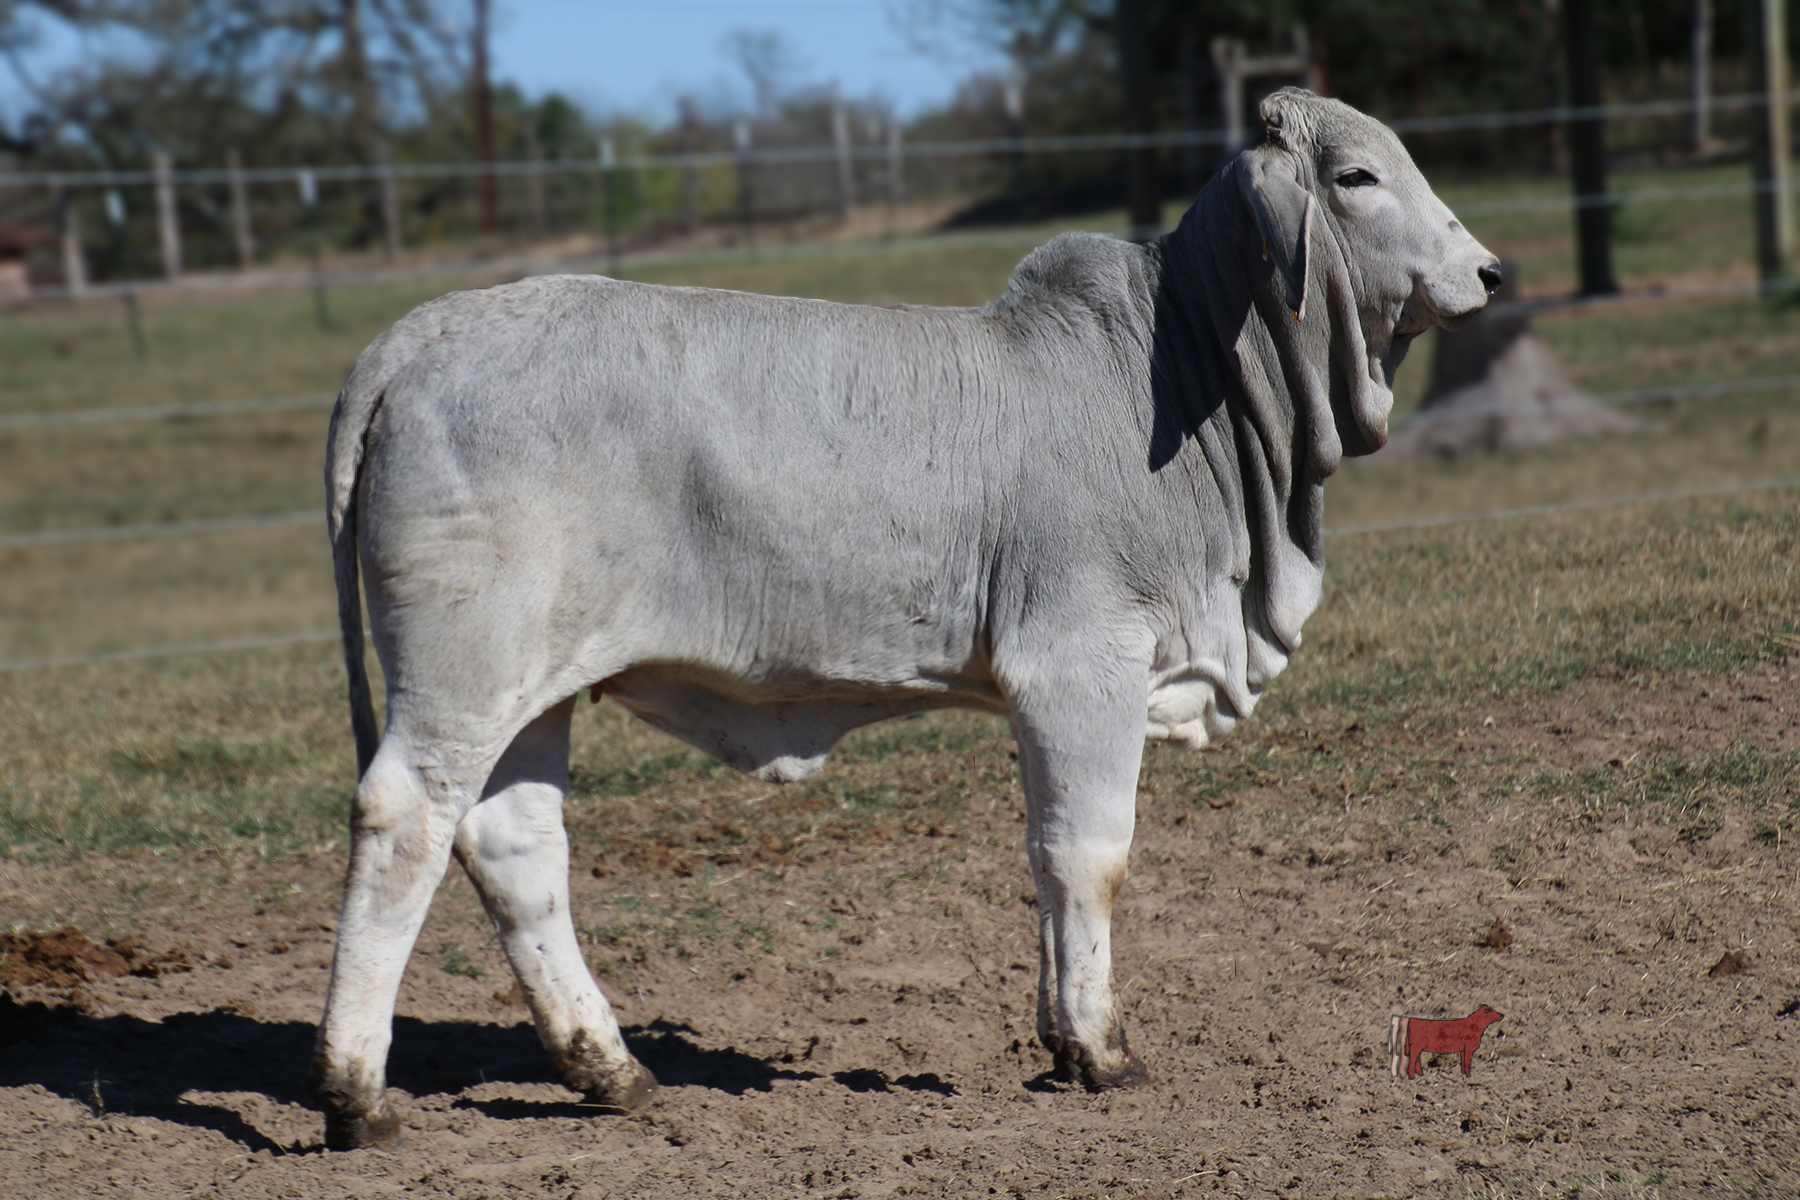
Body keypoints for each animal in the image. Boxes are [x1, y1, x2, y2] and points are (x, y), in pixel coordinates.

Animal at [313, 89, 1504, 1151]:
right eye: (1357, 176)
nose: (1492, 271)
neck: (1174, 375)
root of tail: (419, 334)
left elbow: (1043, 855)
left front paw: (1061, 1040)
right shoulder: (1081, 664)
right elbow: (1091, 855)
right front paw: (1100, 1049)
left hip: (536, 686)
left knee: (512, 841)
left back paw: (611, 1070)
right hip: (466, 668)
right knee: (405, 818)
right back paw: (357, 1096)